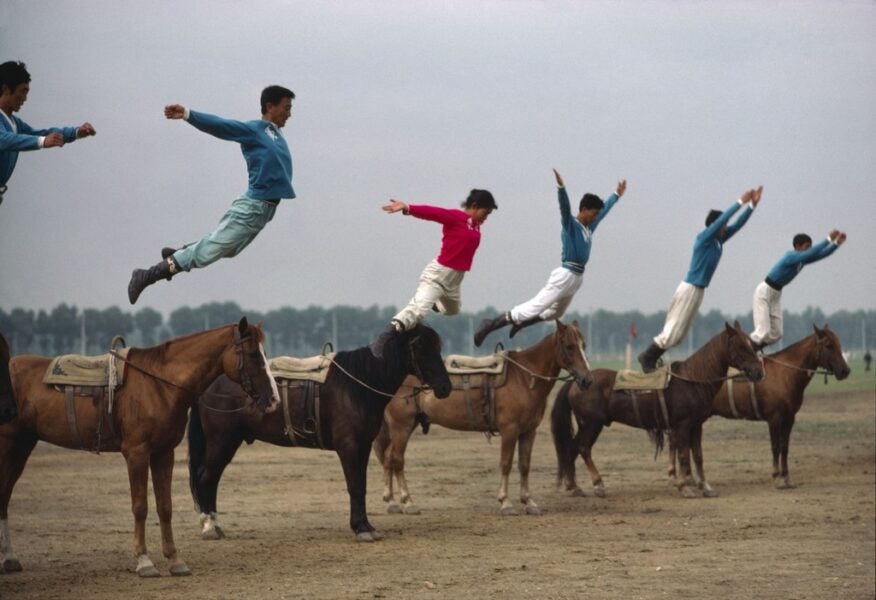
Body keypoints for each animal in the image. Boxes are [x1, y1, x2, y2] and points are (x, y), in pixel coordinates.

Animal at [1, 318, 277, 577]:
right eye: (254, 354)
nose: (274, 399)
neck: (158, 384)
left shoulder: (164, 453)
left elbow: (165, 507)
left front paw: (175, 560)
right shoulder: (136, 453)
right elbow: (140, 507)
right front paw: (144, 562)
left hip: (23, 445)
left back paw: (10, 559)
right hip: (9, 446)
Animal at [187, 322, 451, 543]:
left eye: (438, 346)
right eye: (419, 346)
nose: (445, 387)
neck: (358, 384)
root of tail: (207, 385)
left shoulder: (363, 445)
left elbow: (362, 485)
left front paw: (366, 525)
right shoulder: (348, 446)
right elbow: (355, 485)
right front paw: (360, 528)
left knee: (212, 478)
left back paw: (215, 524)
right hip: (221, 441)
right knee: (206, 477)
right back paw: (209, 526)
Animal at [373, 320, 593, 516]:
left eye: (584, 345)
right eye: (570, 347)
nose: (587, 380)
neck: (524, 378)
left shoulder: (529, 431)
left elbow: (524, 465)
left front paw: (529, 502)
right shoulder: (509, 430)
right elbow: (506, 463)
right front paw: (506, 503)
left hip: (405, 426)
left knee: (388, 457)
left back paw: (391, 502)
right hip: (402, 427)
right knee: (396, 459)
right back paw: (408, 502)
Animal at [551, 321, 764, 499]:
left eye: (752, 345)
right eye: (741, 346)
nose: (759, 372)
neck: (692, 379)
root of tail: (577, 382)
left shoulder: (696, 426)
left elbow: (698, 456)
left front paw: (706, 487)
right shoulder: (683, 425)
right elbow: (684, 456)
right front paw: (685, 488)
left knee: (572, 448)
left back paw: (574, 487)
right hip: (591, 424)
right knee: (583, 448)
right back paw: (598, 485)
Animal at [666, 325, 850, 491]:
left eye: (839, 344)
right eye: (829, 345)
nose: (845, 370)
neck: (784, 374)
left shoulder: (789, 418)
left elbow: (785, 448)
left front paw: (787, 478)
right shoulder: (774, 419)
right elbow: (775, 447)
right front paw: (777, 478)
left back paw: (688, 478)